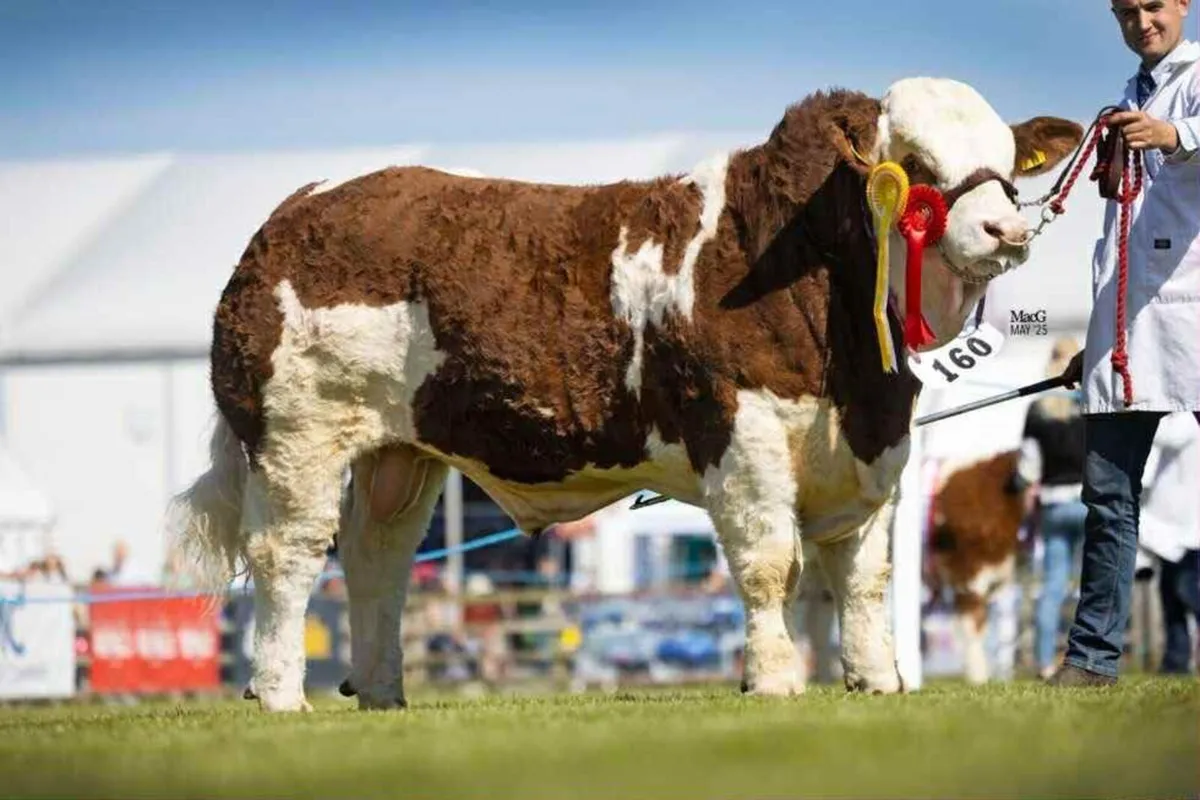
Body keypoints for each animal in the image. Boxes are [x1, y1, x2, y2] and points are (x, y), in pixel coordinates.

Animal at [170, 76, 1083, 711]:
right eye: (918, 166)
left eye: (1008, 163)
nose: (1007, 230)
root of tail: (294, 213)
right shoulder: (741, 436)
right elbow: (770, 566)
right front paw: (775, 682)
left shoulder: (872, 447)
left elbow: (861, 576)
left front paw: (877, 681)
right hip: (297, 441)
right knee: (288, 557)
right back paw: (279, 693)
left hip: (402, 452)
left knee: (377, 560)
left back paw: (384, 690)